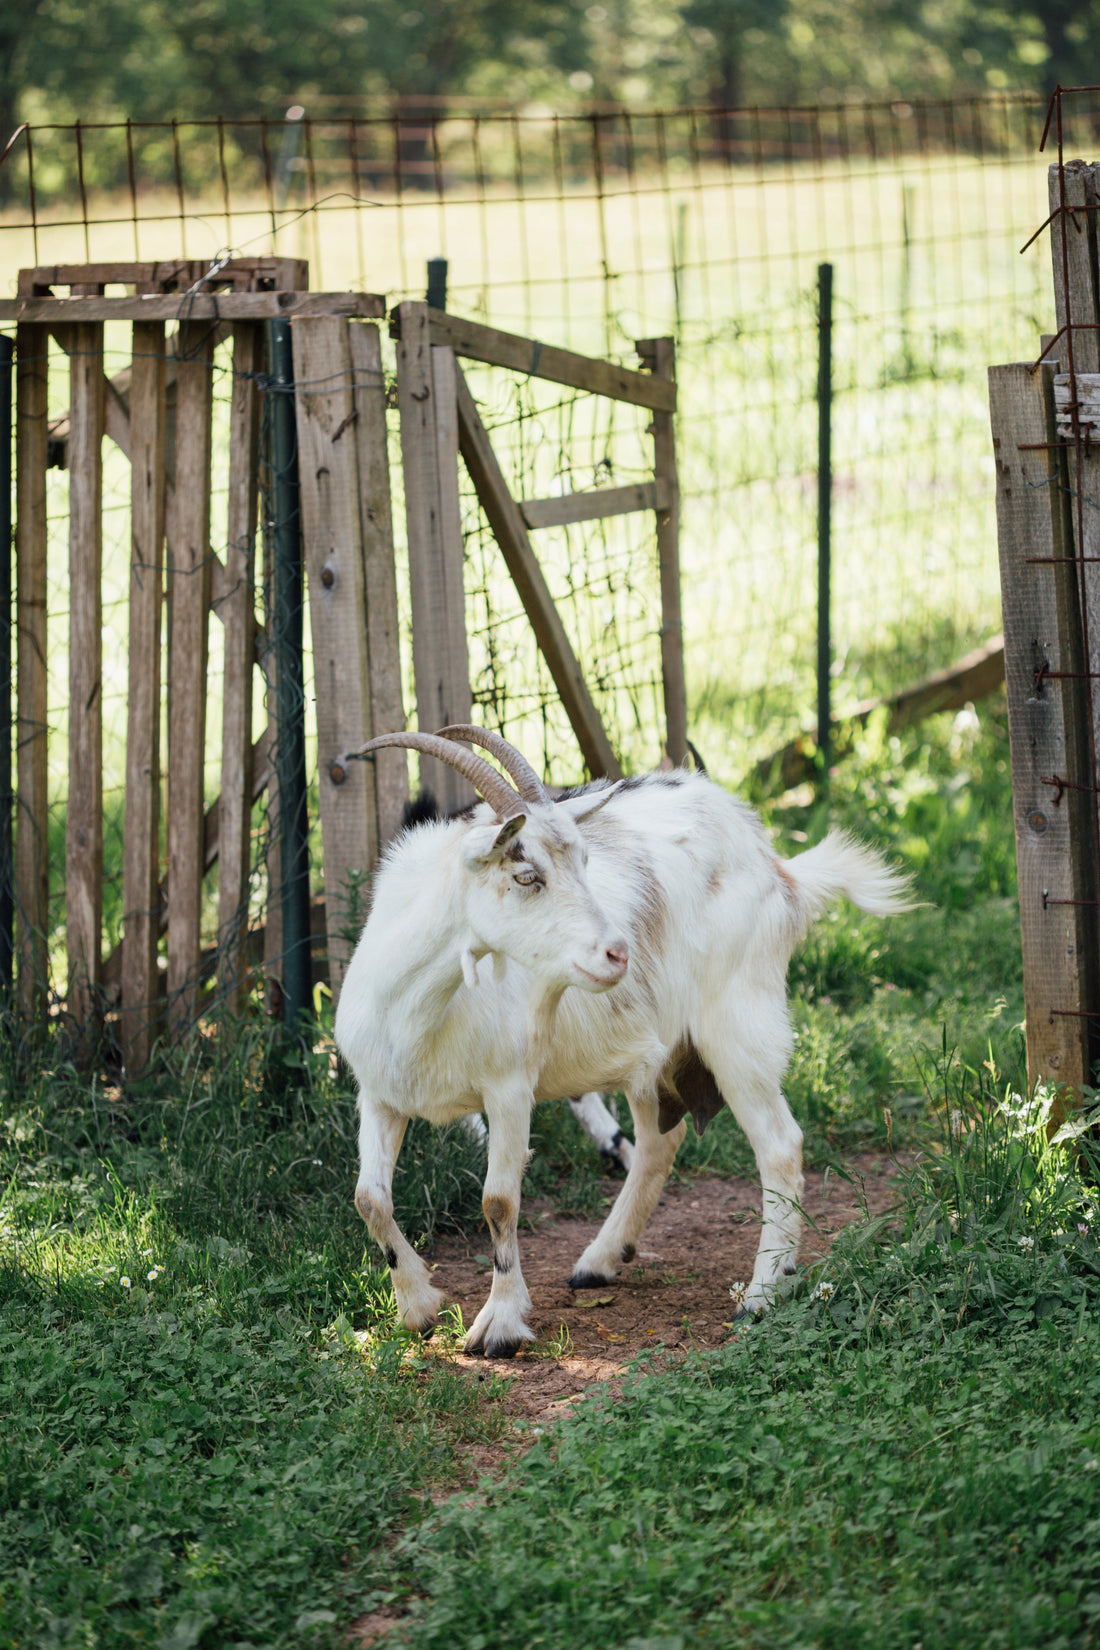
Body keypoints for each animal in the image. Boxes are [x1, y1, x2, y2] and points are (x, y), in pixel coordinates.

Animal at [335, 726, 913, 1357]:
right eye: (526, 876)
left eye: (586, 861)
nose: (618, 953)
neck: (423, 1006)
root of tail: (777, 866)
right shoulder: (380, 1094)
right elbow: (369, 1198)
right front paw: (416, 1307)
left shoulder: (509, 1089)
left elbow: (498, 1201)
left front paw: (500, 1326)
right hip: (653, 1051)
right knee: (660, 1142)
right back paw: (599, 1261)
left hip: (738, 1025)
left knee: (780, 1145)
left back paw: (761, 1295)